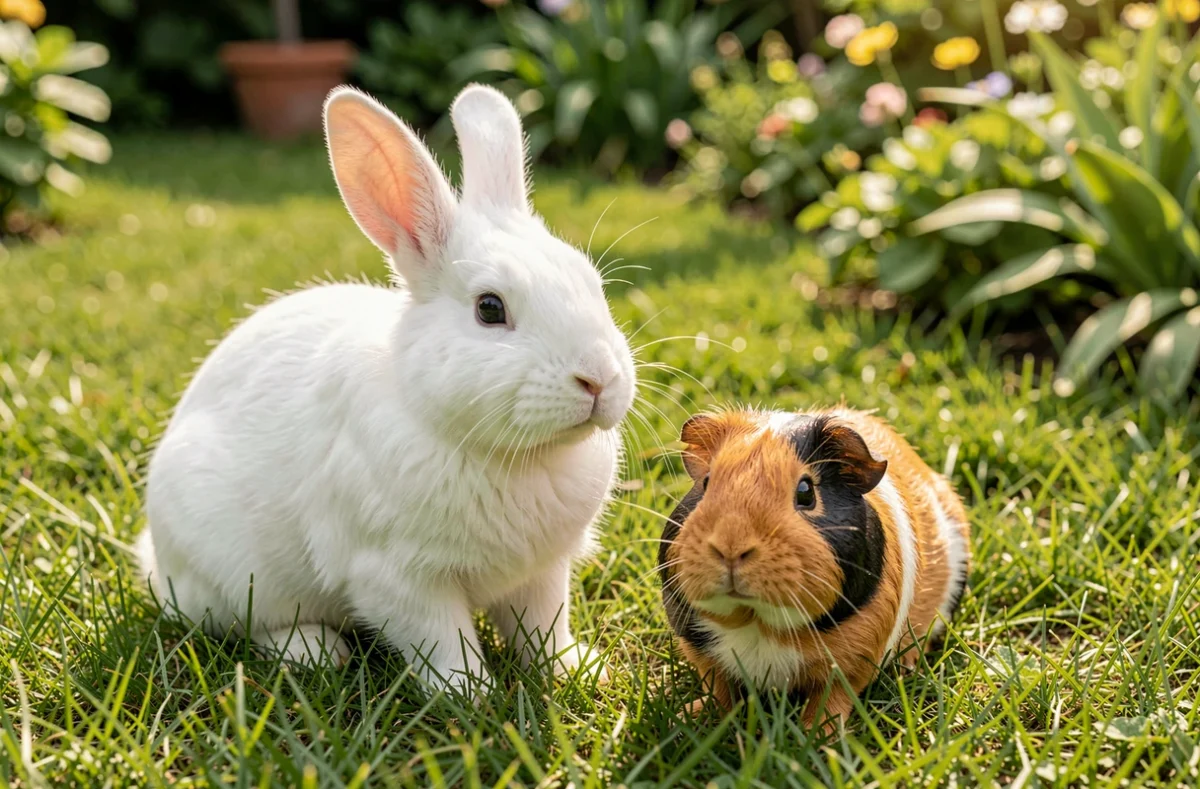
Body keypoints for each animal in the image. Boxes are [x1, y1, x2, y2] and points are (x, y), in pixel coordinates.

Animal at [138, 84, 636, 695]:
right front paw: (469, 693)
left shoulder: (542, 571)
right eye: (489, 309)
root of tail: (157, 563)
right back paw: (316, 651)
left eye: (592, 283)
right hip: (240, 577)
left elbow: (543, 625)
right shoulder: (397, 576)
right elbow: (441, 639)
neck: (516, 455)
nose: (599, 378)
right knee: (247, 626)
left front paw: (574, 670)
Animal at [658, 408, 970, 734]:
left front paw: (817, 735)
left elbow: (830, 700)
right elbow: (720, 690)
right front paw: (690, 718)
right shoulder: (705, 655)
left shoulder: (852, 662)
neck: (758, 623)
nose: (730, 546)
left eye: (806, 492)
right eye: (706, 484)